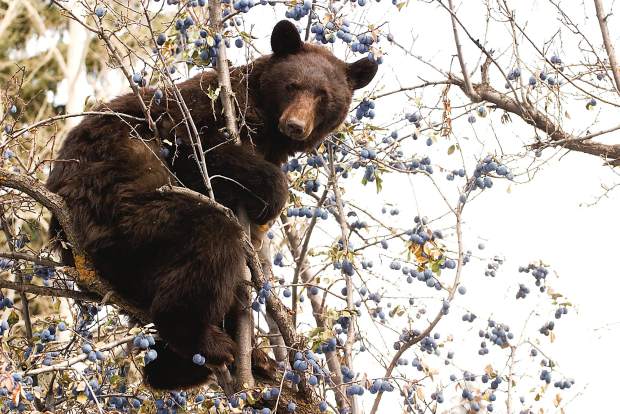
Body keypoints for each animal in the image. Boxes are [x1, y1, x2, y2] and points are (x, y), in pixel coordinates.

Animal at [46, 20, 378, 388]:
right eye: (293, 85)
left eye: (323, 96)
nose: (295, 125)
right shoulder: (203, 108)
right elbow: (196, 149)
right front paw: (273, 193)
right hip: (124, 219)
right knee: (211, 237)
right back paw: (207, 342)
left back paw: (234, 360)